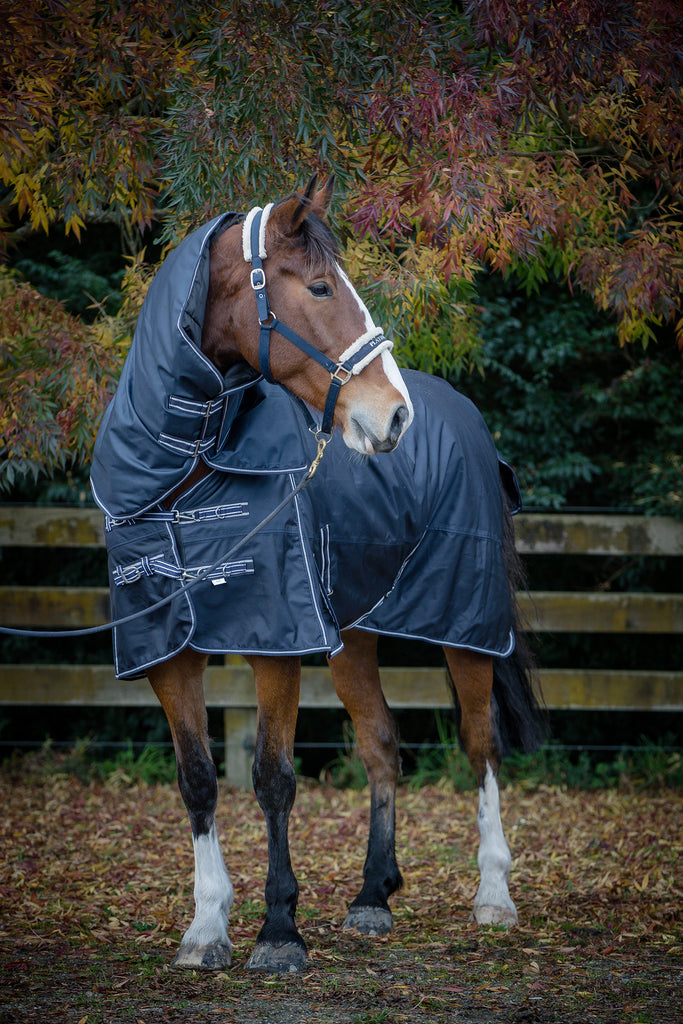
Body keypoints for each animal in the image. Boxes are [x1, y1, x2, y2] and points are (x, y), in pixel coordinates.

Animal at [89, 172, 544, 970]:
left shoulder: (277, 642)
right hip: (353, 635)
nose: (393, 417)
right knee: (382, 744)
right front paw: (206, 927)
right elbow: (198, 780)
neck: (184, 477)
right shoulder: (169, 652)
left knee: (479, 742)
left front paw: (277, 932)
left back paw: (493, 894)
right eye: (322, 287)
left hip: (465, 627)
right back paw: (371, 895)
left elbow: (273, 779)